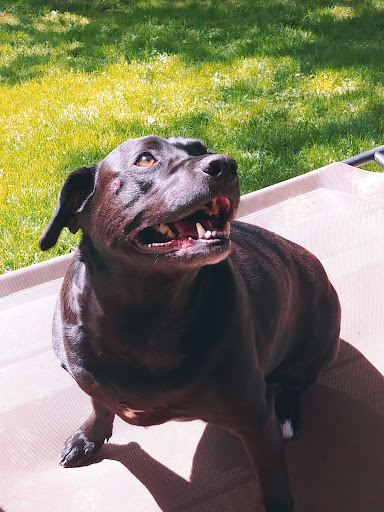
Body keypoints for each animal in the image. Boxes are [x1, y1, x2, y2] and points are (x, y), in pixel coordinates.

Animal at [39, 136, 340, 512]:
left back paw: (287, 409)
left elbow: (273, 480)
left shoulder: (255, 420)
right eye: (145, 160)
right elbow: (100, 404)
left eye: (202, 149)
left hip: (317, 347)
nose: (225, 164)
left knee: (296, 384)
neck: (143, 316)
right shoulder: (89, 378)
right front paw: (89, 438)